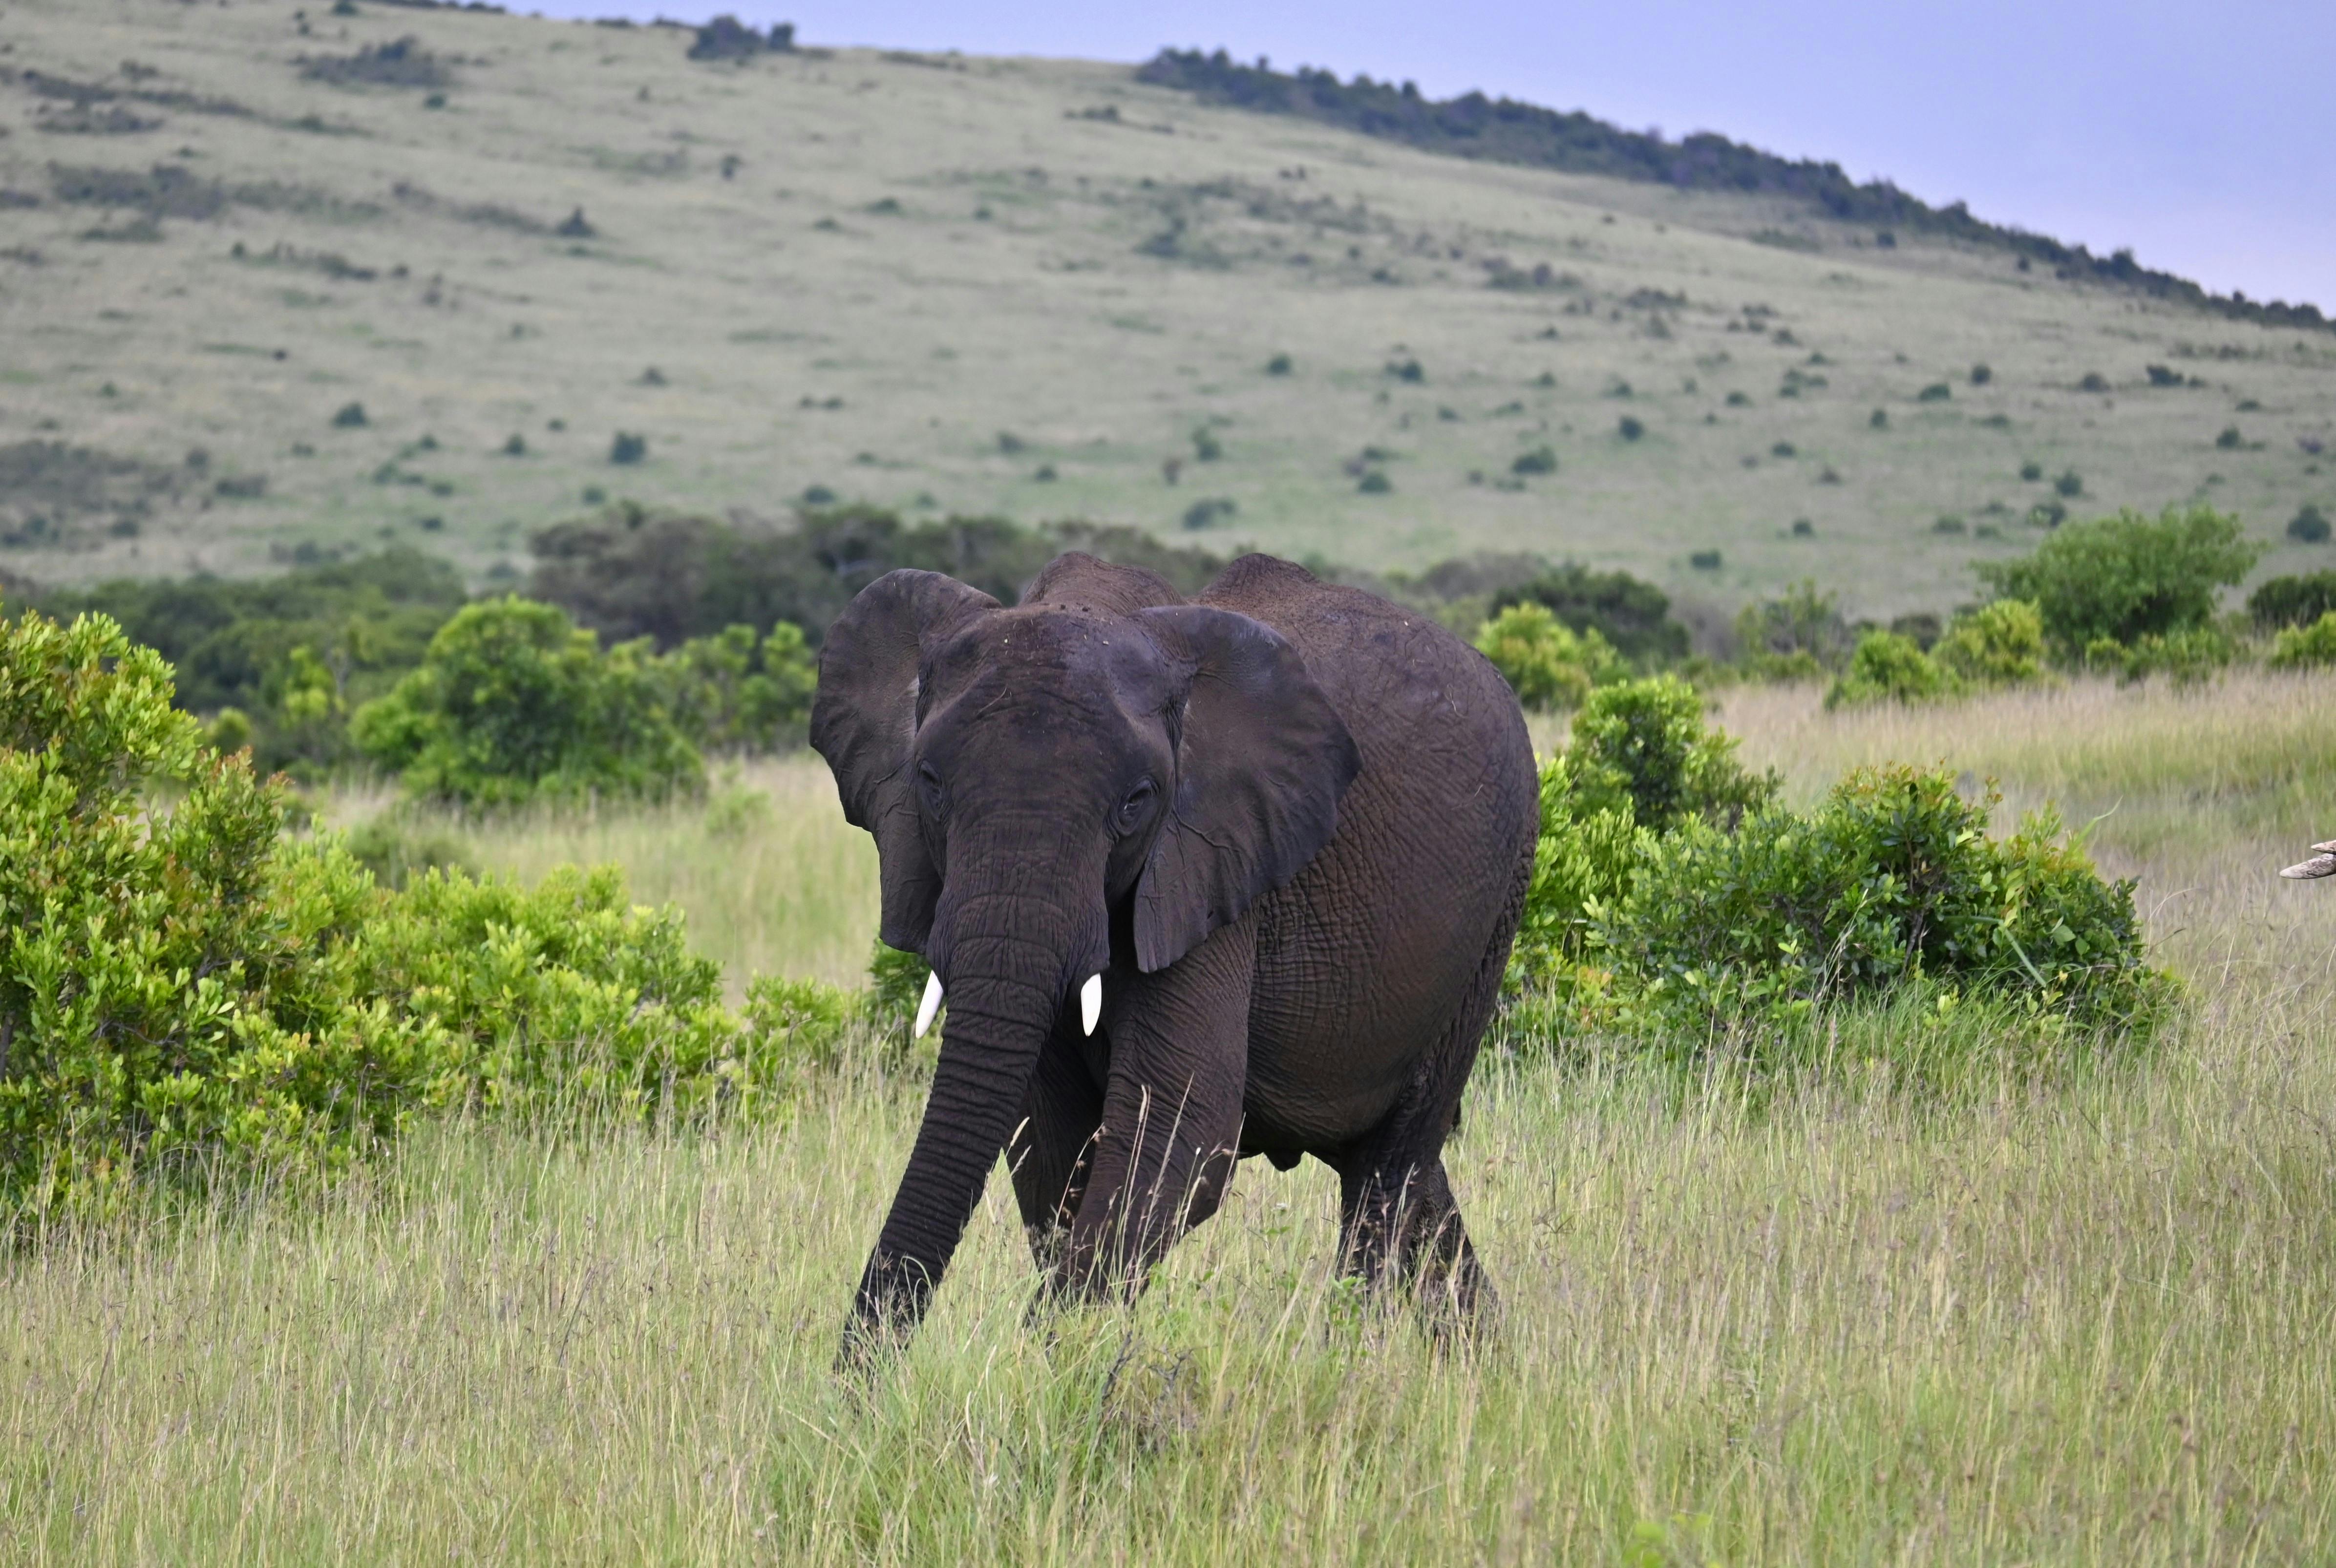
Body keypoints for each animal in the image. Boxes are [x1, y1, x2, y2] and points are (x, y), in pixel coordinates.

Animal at [813, 549, 1542, 1364]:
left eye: (1135, 802)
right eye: (929, 785)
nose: (855, 1384)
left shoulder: (1215, 861)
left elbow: (1175, 1132)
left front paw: (1049, 1368)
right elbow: (1053, 1144)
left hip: (1494, 913)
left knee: (1389, 1172)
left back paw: (1350, 1358)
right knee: (1406, 1182)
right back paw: (1489, 1363)